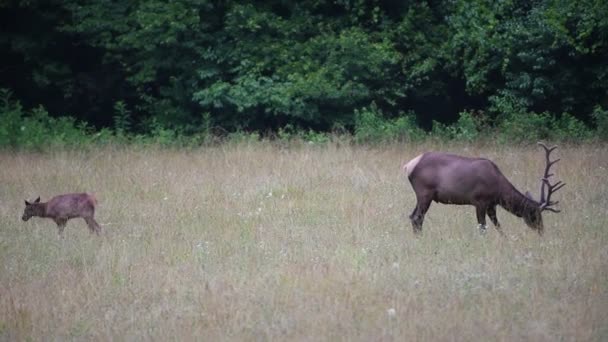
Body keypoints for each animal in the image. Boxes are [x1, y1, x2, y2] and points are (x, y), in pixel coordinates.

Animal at [404, 142, 564, 235]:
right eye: (535, 214)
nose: (541, 231)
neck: (499, 190)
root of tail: (408, 165)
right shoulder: (479, 201)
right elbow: (482, 227)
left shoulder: (491, 205)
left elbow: (498, 226)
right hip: (425, 192)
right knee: (417, 217)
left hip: (423, 196)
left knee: (412, 216)